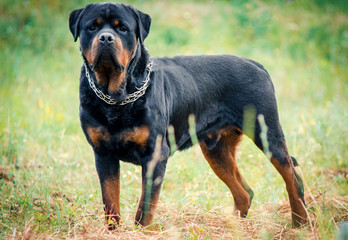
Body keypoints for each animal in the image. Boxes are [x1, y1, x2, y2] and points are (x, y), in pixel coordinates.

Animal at [69, 2, 308, 231]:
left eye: (122, 29)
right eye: (92, 27)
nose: (106, 38)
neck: (116, 97)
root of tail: (256, 64)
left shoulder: (155, 154)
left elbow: (145, 207)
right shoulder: (103, 154)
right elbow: (110, 202)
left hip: (267, 133)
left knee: (292, 178)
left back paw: (300, 222)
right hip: (217, 150)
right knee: (244, 192)